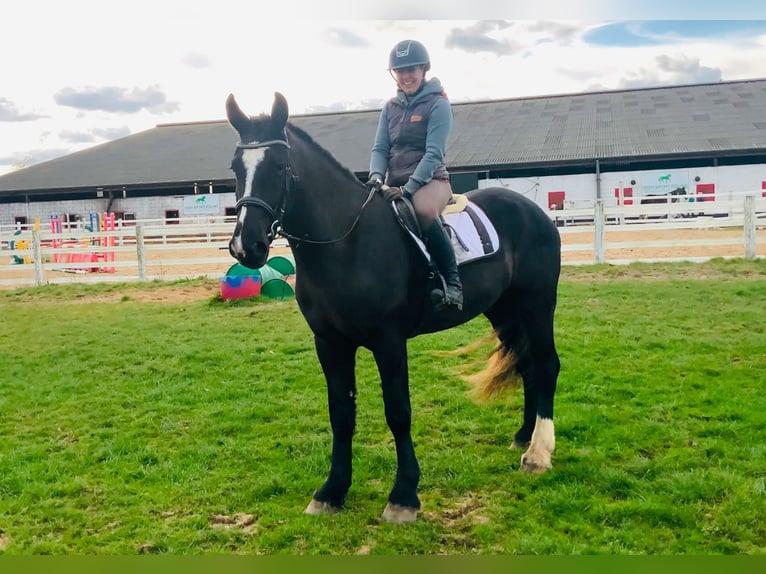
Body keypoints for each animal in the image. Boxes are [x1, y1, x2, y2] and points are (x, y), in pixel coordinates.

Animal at [225, 92, 560, 524]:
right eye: (236, 168)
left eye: (280, 166)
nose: (245, 247)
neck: (346, 243)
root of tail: (534, 210)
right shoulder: (329, 343)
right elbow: (341, 414)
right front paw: (331, 492)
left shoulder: (389, 341)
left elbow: (398, 412)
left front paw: (403, 496)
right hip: (504, 310)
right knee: (528, 365)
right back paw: (523, 438)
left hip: (538, 304)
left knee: (547, 365)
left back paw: (538, 454)